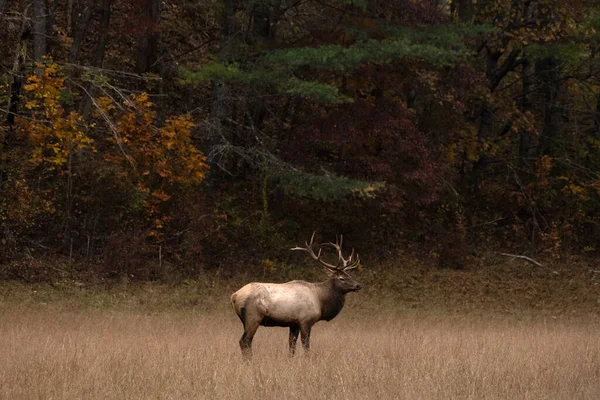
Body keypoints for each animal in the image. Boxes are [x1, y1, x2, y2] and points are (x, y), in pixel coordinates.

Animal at [230, 231, 360, 360]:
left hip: (245, 320)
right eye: (341, 278)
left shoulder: (294, 324)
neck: (320, 301)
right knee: (245, 341)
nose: (358, 285)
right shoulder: (305, 320)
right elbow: (306, 345)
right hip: (253, 316)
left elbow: (292, 345)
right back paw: (250, 361)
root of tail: (235, 295)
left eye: (350, 275)